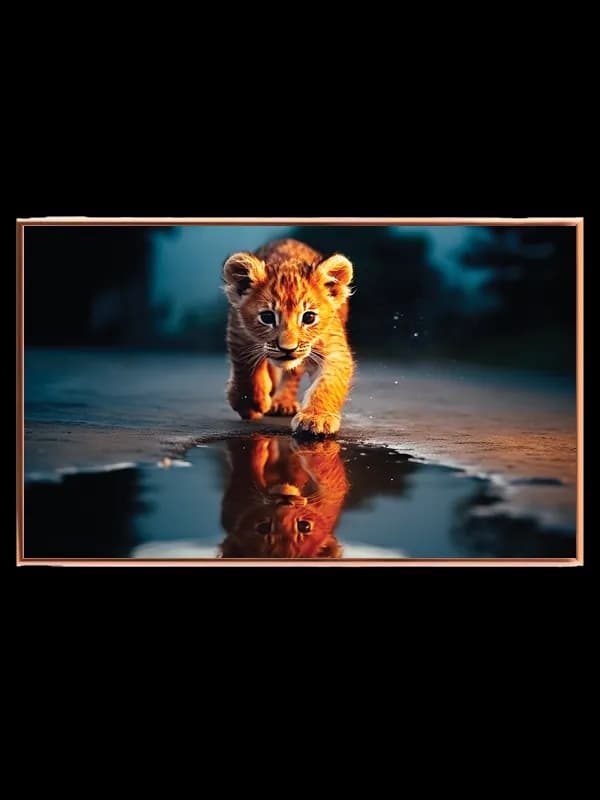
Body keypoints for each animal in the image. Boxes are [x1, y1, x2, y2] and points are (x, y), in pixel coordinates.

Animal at [219, 436, 349, 558]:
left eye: (304, 526)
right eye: (263, 527)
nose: (285, 501)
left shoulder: (330, 496)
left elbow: (324, 469)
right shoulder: (236, 501)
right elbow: (248, 458)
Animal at [223, 238, 354, 437]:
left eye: (309, 317)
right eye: (267, 317)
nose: (287, 349)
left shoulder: (334, 350)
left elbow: (328, 385)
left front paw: (316, 419)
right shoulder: (239, 333)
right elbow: (245, 369)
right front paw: (250, 403)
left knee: (292, 374)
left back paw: (282, 403)